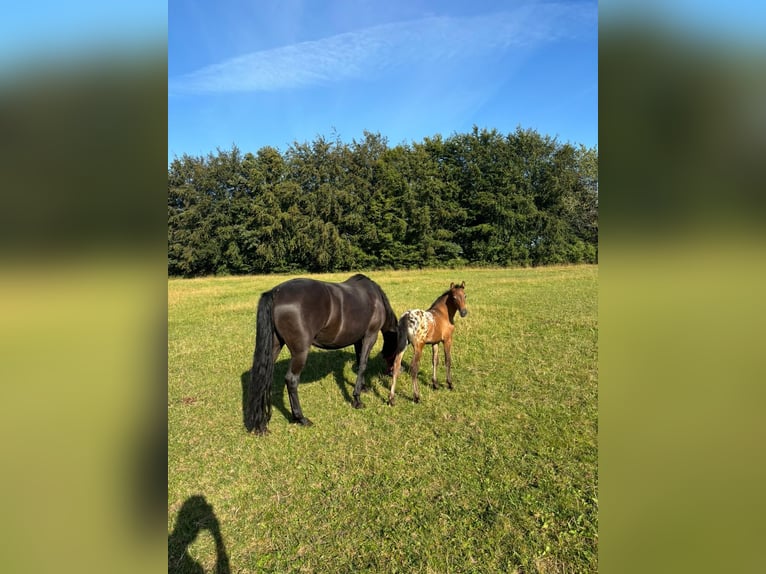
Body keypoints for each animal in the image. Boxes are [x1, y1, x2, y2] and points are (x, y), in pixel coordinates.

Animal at [248, 274, 402, 436]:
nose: (392, 371)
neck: (375, 297)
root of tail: (276, 292)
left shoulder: (358, 339)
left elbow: (360, 360)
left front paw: (363, 387)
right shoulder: (370, 336)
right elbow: (363, 365)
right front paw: (357, 400)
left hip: (274, 346)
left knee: (262, 377)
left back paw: (261, 424)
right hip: (300, 352)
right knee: (291, 380)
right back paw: (301, 418)